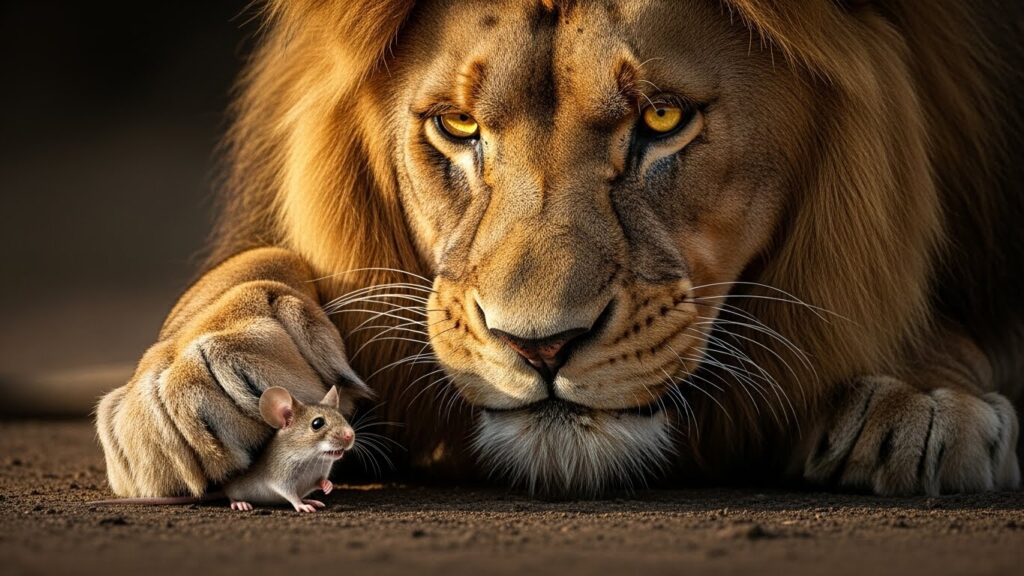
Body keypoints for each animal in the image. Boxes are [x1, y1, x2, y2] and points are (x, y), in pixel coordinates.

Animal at [96, 0, 1024, 498]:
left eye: (662, 117)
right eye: (458, 126)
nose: (539, 345)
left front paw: (920, 399)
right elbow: (257, 267)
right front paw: (194, 377)